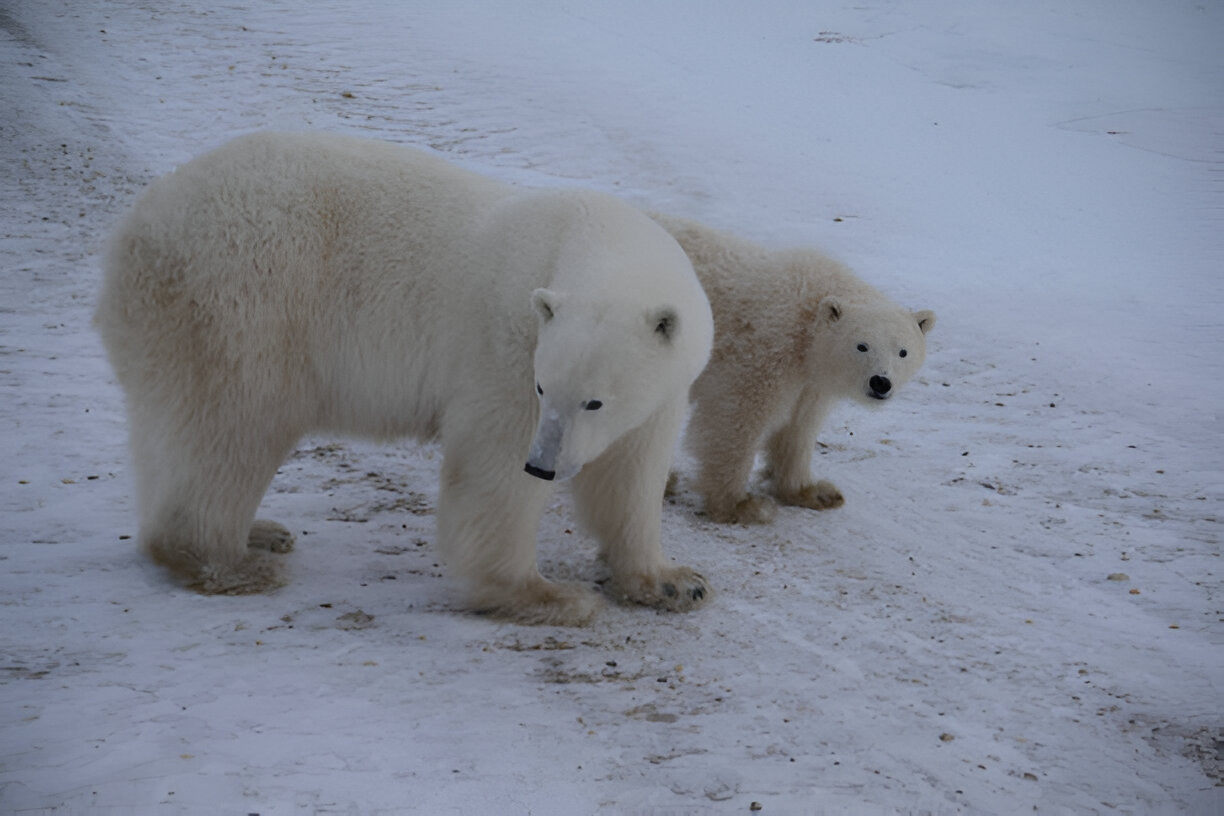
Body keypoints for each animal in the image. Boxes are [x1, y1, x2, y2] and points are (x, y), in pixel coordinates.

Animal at [97, 132, 714, 626]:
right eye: (544, 389)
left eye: (595, 402)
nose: (542, 466)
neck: (587, 234)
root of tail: (139, 229)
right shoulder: (507, 348)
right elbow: (494, 468)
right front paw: (546, 595)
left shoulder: (663, 389)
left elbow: (630, 474)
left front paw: (674, 582)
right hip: (246, 296)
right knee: (233, 427)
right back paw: (231, 560)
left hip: (176, 328)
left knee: (173, 431)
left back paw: (257, 533)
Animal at [656, 214, 930, 526]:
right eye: (862, 346)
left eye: (903, 351)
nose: (881, 382)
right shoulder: (764, 350)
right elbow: (735, 420)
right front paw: (741, 505)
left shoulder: (811, 380)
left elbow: (799, 426)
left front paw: (814, 492)